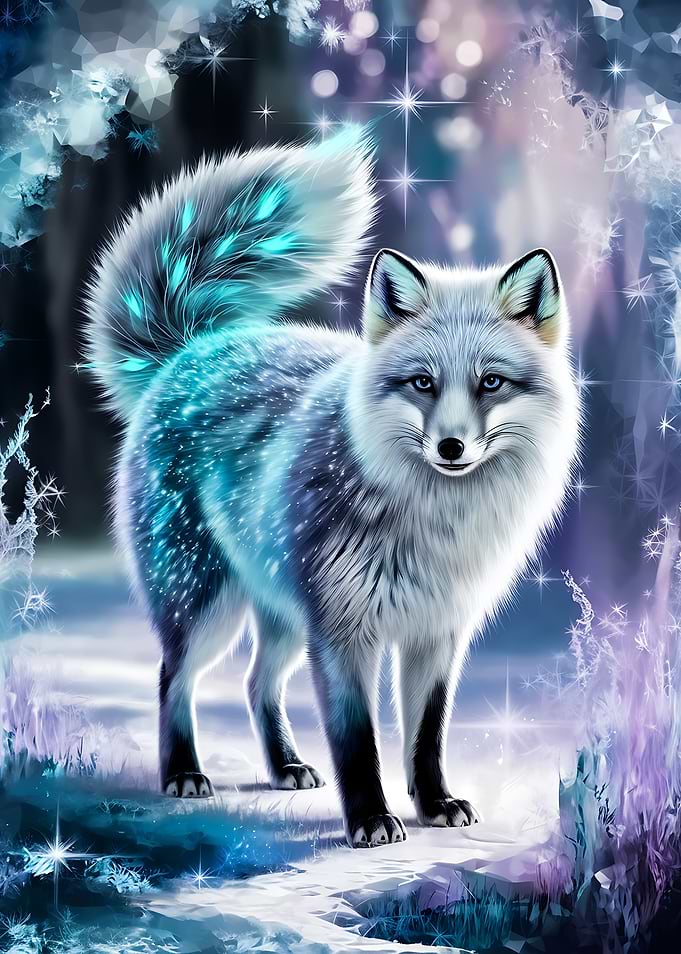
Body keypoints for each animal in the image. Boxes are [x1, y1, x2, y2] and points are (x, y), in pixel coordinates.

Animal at [86, 127, 579, 848]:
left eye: (491, 383)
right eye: (423, 382)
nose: (451, 449)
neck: (434, 527)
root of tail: (191, 350)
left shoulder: (436, 635)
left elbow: (424, 738)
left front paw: (433, 804)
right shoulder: (344, 633)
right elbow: (358, 743)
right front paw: (371, 817)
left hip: (286, 619)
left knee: (255, 683)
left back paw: (284, 765)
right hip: (208, 607)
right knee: (172, 678)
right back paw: (182, 772)